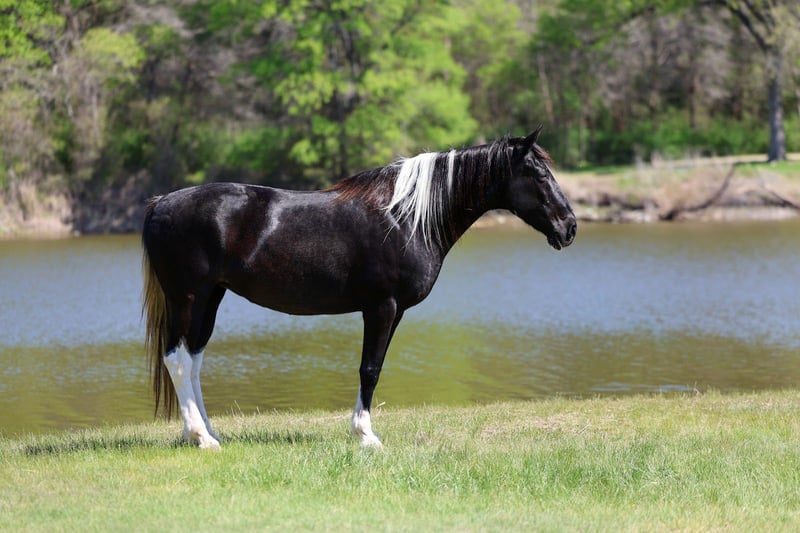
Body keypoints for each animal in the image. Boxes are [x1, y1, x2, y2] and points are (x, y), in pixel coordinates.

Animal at [141, 126, 576, 449]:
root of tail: (161, 203)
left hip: (210, 298)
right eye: (540, 175)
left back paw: (206, 432)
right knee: (177, 359)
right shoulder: (382, 307)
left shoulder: (393, 311)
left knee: (193, 359)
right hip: (188, 297)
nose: (570, 227)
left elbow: (374, 367)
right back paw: (201, 437)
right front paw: (365, 435)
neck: (406, 217)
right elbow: (370, 369)